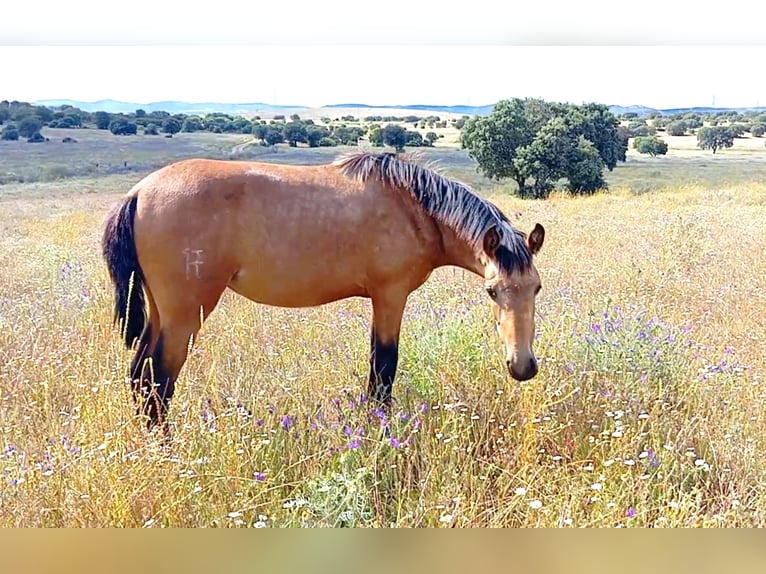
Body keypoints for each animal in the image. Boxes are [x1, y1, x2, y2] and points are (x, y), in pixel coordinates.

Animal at [102, 151, 544, 434]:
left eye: (536, 287)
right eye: (492, 291)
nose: (522, 366)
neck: (413, 208)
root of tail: (138, 193)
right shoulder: (390, 296)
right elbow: (383, 370)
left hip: (162, 312)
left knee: (139, 377)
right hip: (185, 315)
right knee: (158, 381)